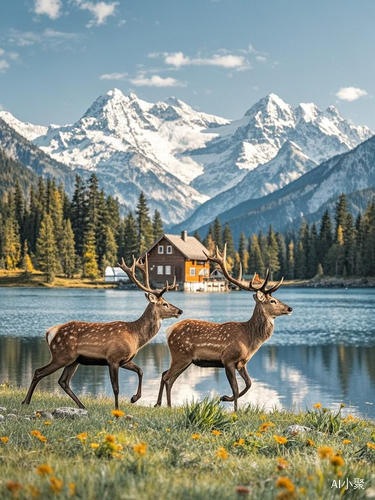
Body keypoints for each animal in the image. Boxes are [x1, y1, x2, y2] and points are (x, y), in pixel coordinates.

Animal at [22, 256, 184, 412]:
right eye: (164, 304)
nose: (180, 311)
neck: (136, 337)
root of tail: (50, 332)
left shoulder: (125, 360)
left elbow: (140, 371)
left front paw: (134, 398)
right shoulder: (113, 358)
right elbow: (116, 388)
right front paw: (117, 409)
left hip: (73, 360)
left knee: (63, 381)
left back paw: (81, 406)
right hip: (61, 355)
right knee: (38, 371)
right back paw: (26, 401)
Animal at [156, 244, 294, 412]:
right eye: (273, 301)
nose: (289, 308)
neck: (250, 340)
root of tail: (169, 331)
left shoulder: (242, 363)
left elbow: (249, 384)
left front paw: (225, 398)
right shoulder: (228, 359)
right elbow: (235, 388)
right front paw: (233, 408)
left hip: (186, 360)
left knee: (167, 376)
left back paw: (163, 404)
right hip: (180, 355)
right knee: (167, 377)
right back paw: (163, 404)